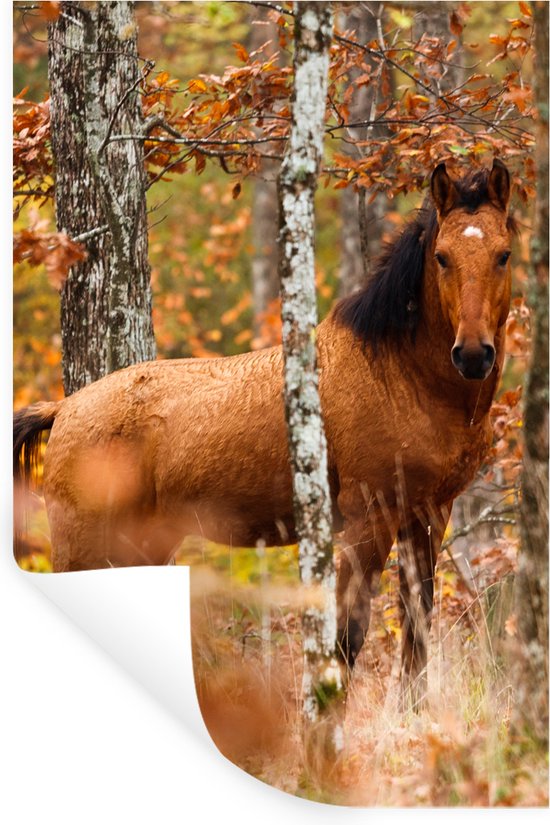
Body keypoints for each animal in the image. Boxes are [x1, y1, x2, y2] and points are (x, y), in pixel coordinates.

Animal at [14, 160, 514, 701]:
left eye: (503, 254)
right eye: (442, 257)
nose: (472, 354)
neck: (400, 376)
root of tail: (64, 409)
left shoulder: (429, 515)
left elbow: (416, 634)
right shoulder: (369, 519)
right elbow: (346, 638)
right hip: (85, 548)